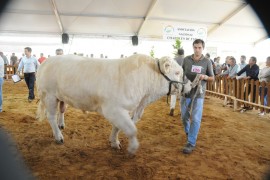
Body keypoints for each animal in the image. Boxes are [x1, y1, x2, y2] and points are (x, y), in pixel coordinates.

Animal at [36, 53, 190, 155]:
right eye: (177, 72)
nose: (189, 86)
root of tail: (47, 61)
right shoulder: (112, 109)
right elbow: (131, 129)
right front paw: (132, 148)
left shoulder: (125, 109)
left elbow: (118, 127)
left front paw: (114, 142)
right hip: (49, 95)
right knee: (51, 116)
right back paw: (58, 136)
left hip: (60, 97)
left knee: (61, 110)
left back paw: (61, 125)